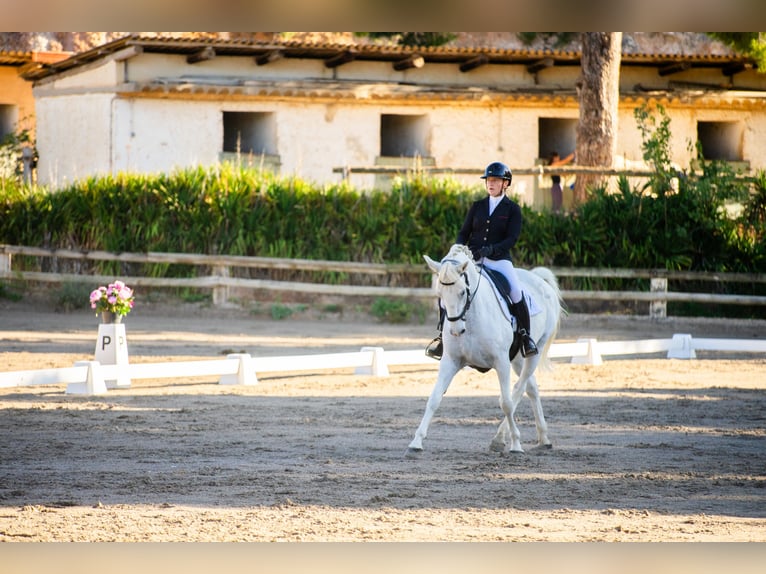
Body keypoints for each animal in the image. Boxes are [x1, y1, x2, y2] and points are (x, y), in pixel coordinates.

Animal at [412, 245, 568, 456]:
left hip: (535, 351)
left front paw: (515, 444)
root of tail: (538, 279)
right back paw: (543, 438)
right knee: (531, 388)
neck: (471, 318)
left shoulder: (501, 362)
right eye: (440, 294)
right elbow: (434, 398)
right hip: (517, 359)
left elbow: (506, 403)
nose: (456, 331)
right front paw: (416, 442)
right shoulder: (451, 361)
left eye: (462, 292)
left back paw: (501, 438)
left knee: (519, 389)